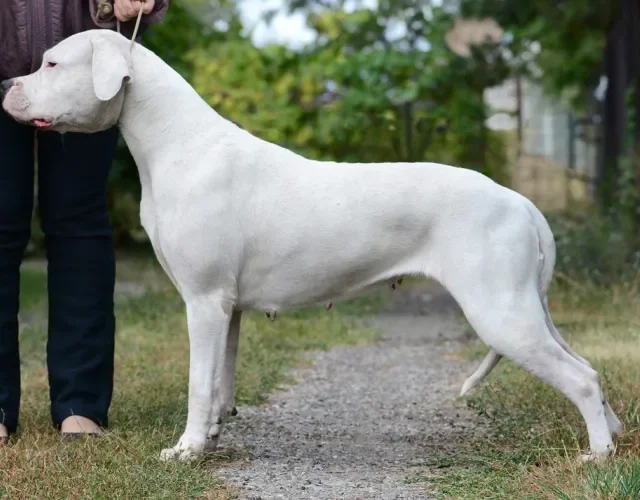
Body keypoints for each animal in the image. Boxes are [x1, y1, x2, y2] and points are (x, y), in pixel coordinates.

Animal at [0, 30, 620, 460]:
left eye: (51, 63)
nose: (6, 85)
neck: (178, 143)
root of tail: (520, 201)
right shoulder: (226, 309)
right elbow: (220, 381)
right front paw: (213, 437)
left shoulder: (203, 303)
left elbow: (198, 384)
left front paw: (187, 451)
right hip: (523, 310)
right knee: (587, 368)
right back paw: (612, 435)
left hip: (501, 313)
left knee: (581, 378)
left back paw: (597, 455)